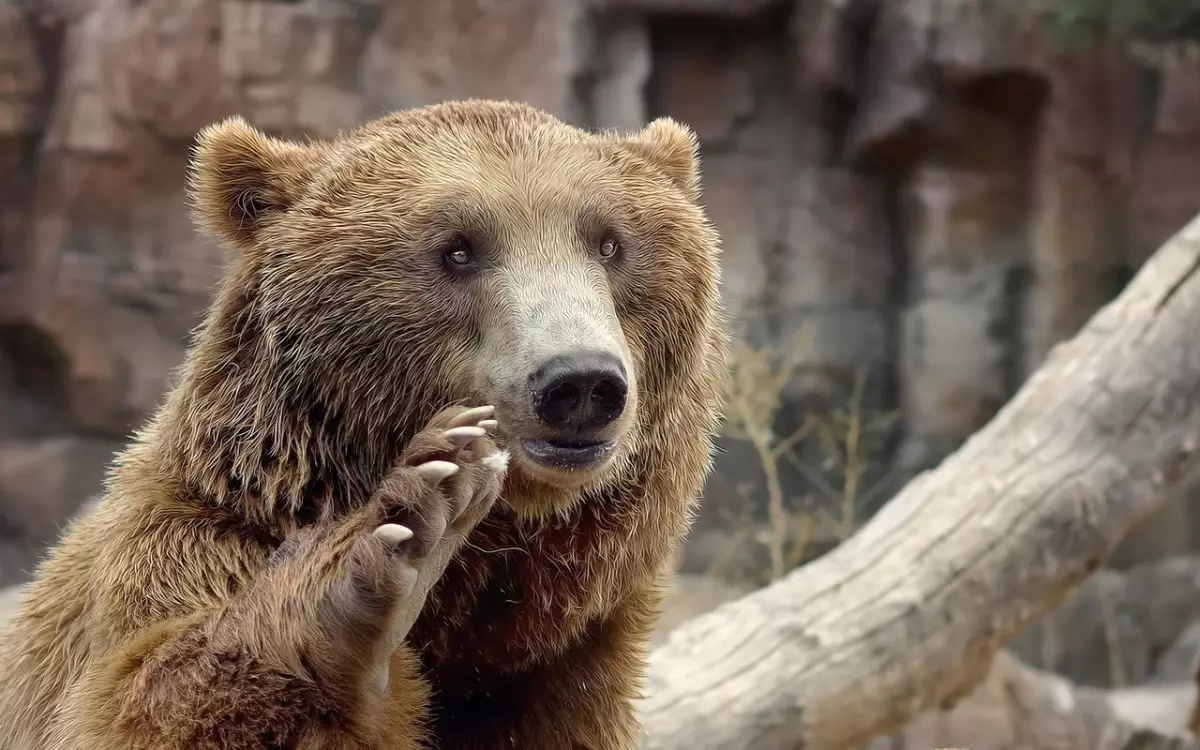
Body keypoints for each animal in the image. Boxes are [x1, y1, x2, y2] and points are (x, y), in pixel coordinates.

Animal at [0, 99, 720, 748]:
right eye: (457, 250)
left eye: (609, 242)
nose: (579, 382)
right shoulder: (180, 551)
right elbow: (139, 700)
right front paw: (398, 539)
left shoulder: (571, 664)